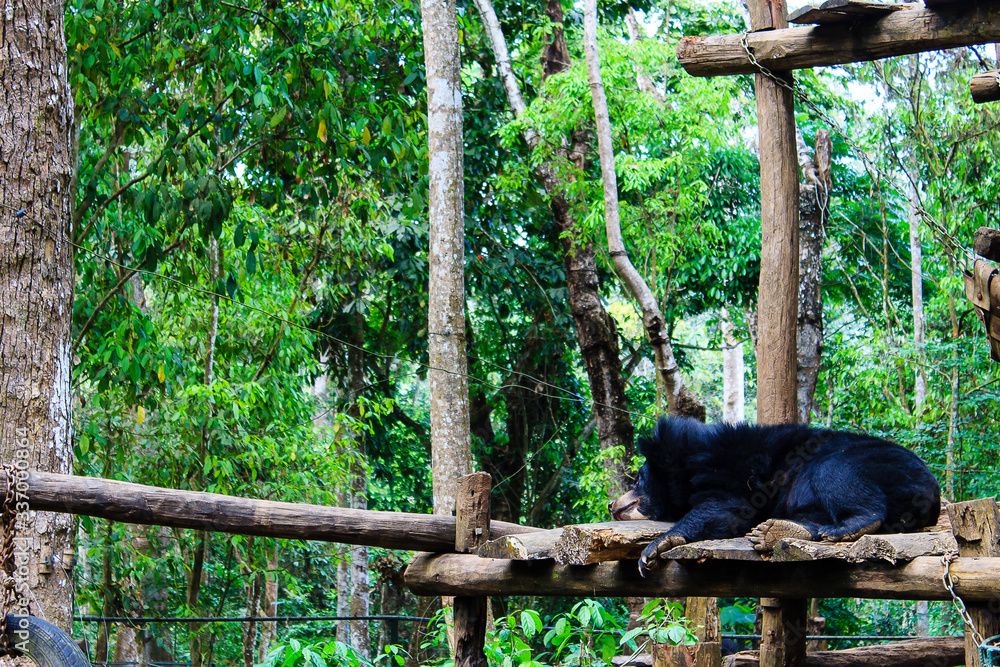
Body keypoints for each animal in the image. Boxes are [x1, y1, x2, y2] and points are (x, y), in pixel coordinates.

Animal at [608, 417, 941, 576]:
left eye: (638, 479)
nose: (613, 505)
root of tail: (933, 498)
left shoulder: (732, 469)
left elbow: (726, 507)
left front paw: (653, 550)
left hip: (872, 464)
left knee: (836, 474)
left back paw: (844, 528)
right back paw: (773, 531)